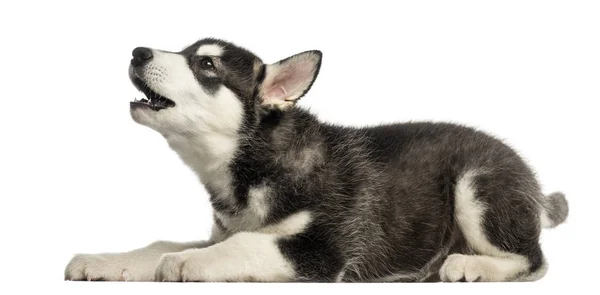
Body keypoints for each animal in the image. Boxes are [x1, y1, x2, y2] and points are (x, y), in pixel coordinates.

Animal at [65, 38, 568, 284]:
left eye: (206, 66)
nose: (138, 52)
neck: (253, 165)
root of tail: (532, 182)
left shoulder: (323, 249)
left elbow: (239, 246)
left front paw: (183, 263)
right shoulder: (224, 229)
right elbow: (160, 244)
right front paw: (107, 260)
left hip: (477, 186)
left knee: (535, 259)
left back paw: (472, 265)